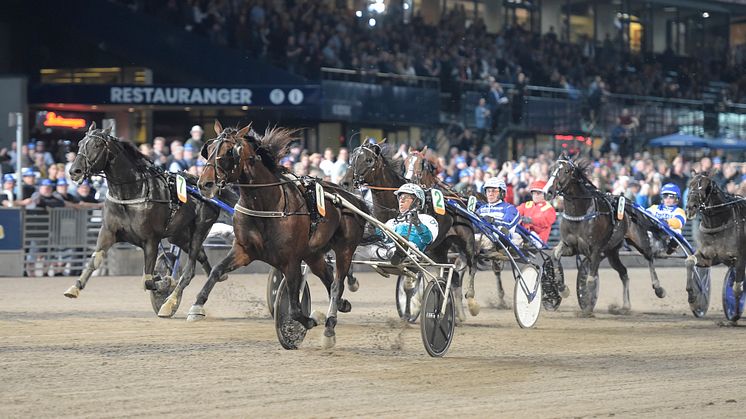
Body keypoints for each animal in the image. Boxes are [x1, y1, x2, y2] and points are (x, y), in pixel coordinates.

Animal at [67, 122, 237, 318]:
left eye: (96, 145)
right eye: (80, 144)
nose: (74, 171)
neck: (131, 193)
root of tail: (205, 187)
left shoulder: (151, 240)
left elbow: (148, 281)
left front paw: (165, 283)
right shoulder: (108, 232)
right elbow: (95, 260)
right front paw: (74, 287)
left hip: (200, 229)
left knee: (190, 269)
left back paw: (170, 302)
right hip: (178, 235)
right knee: (200, 256)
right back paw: (217, 276)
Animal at [190, 122, 368, 352]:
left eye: (229, 151)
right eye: (209, 148)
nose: (205, 184)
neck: (266, 205)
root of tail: (353, 199)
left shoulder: (290, 260)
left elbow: (294, 308)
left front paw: (306, 322)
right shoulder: (243, 250)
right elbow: (216, 270)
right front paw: (196, 306)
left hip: (345, 249)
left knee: (337, 284)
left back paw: (329, 328)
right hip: (313, 255)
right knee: (329, 279)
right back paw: (342, 305)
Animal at [348, 141, 476, 322]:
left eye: (368, 160)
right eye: (353, 157)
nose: (351, 181)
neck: (393, 205)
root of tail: (457, 200)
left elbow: (410, 274)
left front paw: (411, 305)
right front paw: (352, 282)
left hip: (466, 239)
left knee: (472, 264)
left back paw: (471, 302)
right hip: (438, 250)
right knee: (452, 276)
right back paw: (457, 313)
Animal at [540, 158, 668, 316]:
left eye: (566, 171)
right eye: (552, 169)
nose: (547, 191)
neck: (580, 214)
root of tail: (628, 204)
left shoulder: (595, 250)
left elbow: (590, 280)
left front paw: (587, 308)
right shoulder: (570, 246)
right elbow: (555, 256)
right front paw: (563, 290)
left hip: (639, 240)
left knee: (649, 257)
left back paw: (658, 289)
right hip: (611, 252)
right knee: (623, 273)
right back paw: (625, 306)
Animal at [684, 172, 744, 324]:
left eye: (707, 186)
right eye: (690, 184)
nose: (691, 207)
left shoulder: (740, 260)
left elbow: (737, 288)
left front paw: (734, 317)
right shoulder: (710, 257)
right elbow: (690, 261)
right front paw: (693, 297)